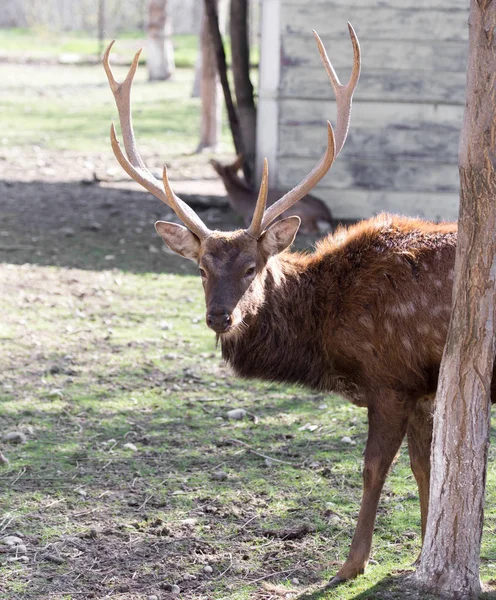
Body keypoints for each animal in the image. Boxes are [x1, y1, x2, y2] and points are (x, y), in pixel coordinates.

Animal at [102, 28, 494, 584]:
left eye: (252, 267)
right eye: (201, 268)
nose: (219, 316)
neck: (328, 334)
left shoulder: (391, 379)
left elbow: (374, 468)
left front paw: (351, 564)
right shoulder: (423, 387)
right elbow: (427, 469)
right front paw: (421, 556)